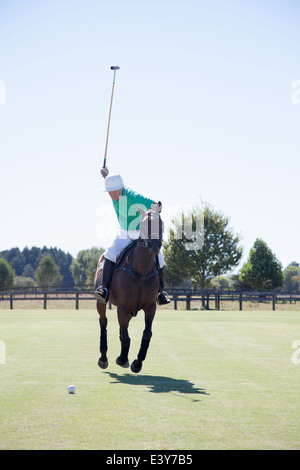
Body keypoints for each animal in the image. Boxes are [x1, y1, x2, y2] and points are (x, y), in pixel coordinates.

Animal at [94, 206, 163, 374]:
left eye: (161, 223)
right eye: (144, 224)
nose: (154, 246)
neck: (141, 273)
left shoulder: (150, 306)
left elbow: (147, 334)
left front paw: (137, 363)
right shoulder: (123, 307)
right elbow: (125, 336)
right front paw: (123, 359)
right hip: (102, 303)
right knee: (103, 322)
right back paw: (103, 358)